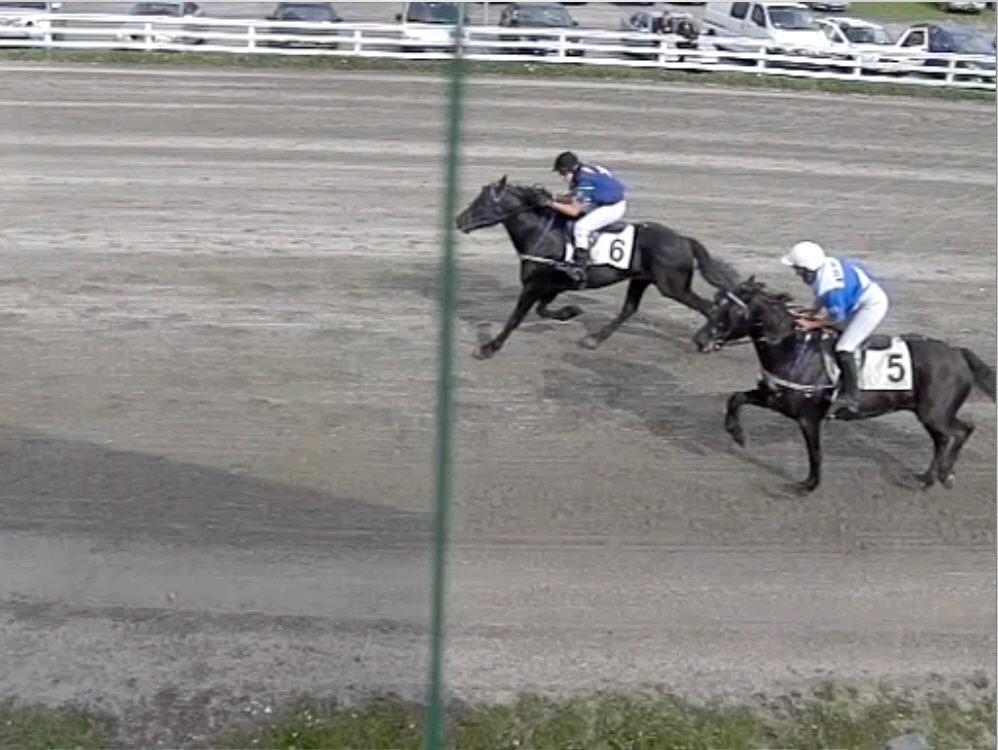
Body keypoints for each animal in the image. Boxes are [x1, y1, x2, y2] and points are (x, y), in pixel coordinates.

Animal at [458, 179, 740, 362]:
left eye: (483, 202)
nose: (458, 220)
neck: (542, 234)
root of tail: (683, 240)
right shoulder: (552, 285)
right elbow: (543, 309)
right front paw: (570, 311)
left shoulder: (534, 285)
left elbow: (515, 318)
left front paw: (487, 348)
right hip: (641, 280)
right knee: (628, 309)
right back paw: (593, 339)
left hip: (673, 286)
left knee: (709, 307)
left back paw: (708, 342)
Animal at [692, 280, 996, 496]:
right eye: (715, 303)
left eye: (731, 310)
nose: (699, 339)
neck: (794, 349)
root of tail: (958, 353)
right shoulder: (776, 398)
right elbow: (736, 398)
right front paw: (737, 434)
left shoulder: (808, 417)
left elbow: (815, 453)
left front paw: (807, 486)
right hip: (929, 413)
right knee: (943, 439)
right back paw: (927, 478)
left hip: (935, 412)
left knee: (962, 431)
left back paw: (946, 475)